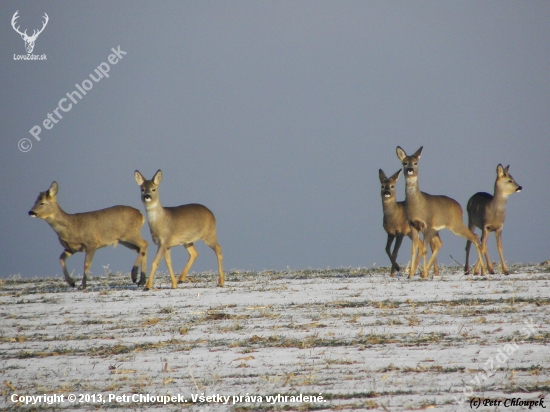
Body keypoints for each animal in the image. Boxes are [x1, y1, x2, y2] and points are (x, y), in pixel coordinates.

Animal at [396, 146, 488, 278]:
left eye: (415, 162)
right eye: (404, 163)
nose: (410, 170)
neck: (416, 205)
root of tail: (459, 207)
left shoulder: (427, 225)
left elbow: (424, 249)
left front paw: (422, 273)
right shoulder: (413, 225)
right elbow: (414, 249)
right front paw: (411, 274)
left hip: (455, 224)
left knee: (474, 236)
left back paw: (482, 271)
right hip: (438, 229)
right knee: (441, 243)